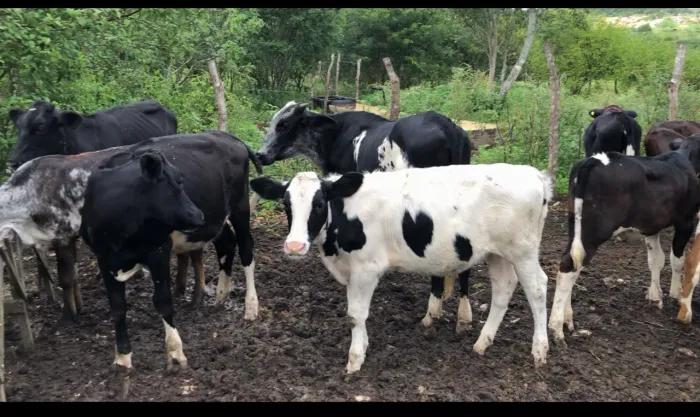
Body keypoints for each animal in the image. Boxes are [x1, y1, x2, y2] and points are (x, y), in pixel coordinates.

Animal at [0, 132, 263, 357]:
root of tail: (226, 135)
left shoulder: (64, 236)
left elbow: (66, 278)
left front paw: (67, 316)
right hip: (214, 218)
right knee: (226, 243)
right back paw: (219, 296)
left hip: (240, 207)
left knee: (246, 249)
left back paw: (250, 307)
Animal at [249, 163, 553, 373]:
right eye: (286, 204)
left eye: (320, 203)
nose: (295, 246)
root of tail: (534, 175)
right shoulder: (351, 270)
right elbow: (357, 314)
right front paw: (364, 346)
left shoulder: (366, 268)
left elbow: (355, 315)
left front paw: (354, 360)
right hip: (496, 253)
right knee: (503, 289)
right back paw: (482, 342)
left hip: (523, 251)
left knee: (537, 288)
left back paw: (540, 350)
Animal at [254, 101, 474, 332]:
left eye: (284, 124)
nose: (259, 154)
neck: (337, 135)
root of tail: (447, 127)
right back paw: (462, 316)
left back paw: (432, 313)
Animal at [548, 149, 700, 345]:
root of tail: (592, 160)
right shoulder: (686, 220)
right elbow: (677, 260)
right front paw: (676, 293)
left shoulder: (651, 227)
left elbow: (656, 259)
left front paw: (655, 295)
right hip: (594, 231)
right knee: (569, 266)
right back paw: (556, 328)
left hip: (576, 228)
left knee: (573, 264)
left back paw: (567, 319)